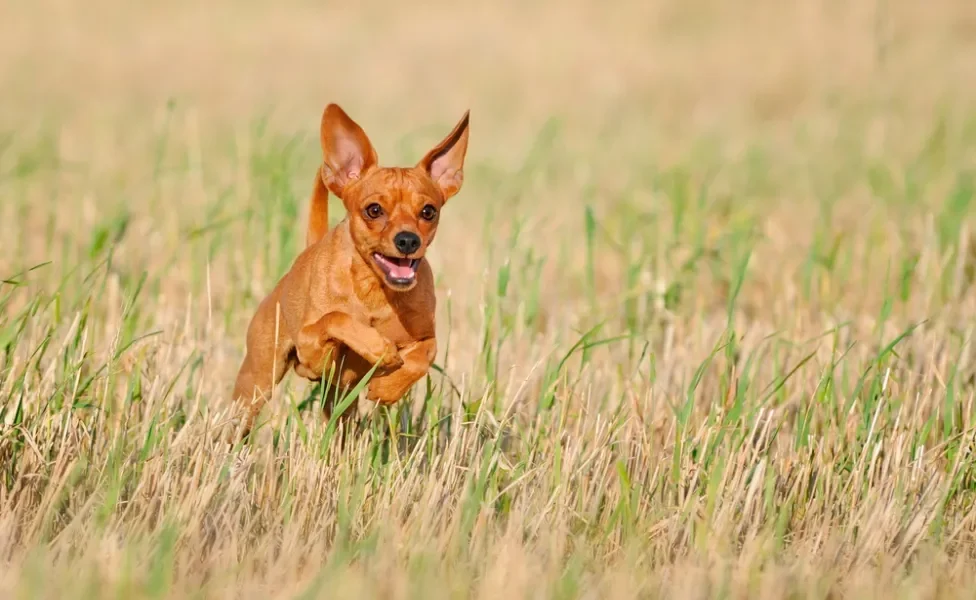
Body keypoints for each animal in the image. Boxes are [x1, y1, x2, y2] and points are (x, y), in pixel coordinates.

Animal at [231, 103, 470, 438]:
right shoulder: (311, 349)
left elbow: (426, 353)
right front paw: (378, 348)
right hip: (257, 381)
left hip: (339, 400)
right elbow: (336, 317)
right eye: (374, 210)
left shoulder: (425, 336)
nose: (408, 240)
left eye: (428, 211)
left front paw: (387, 386)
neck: (376, 291)